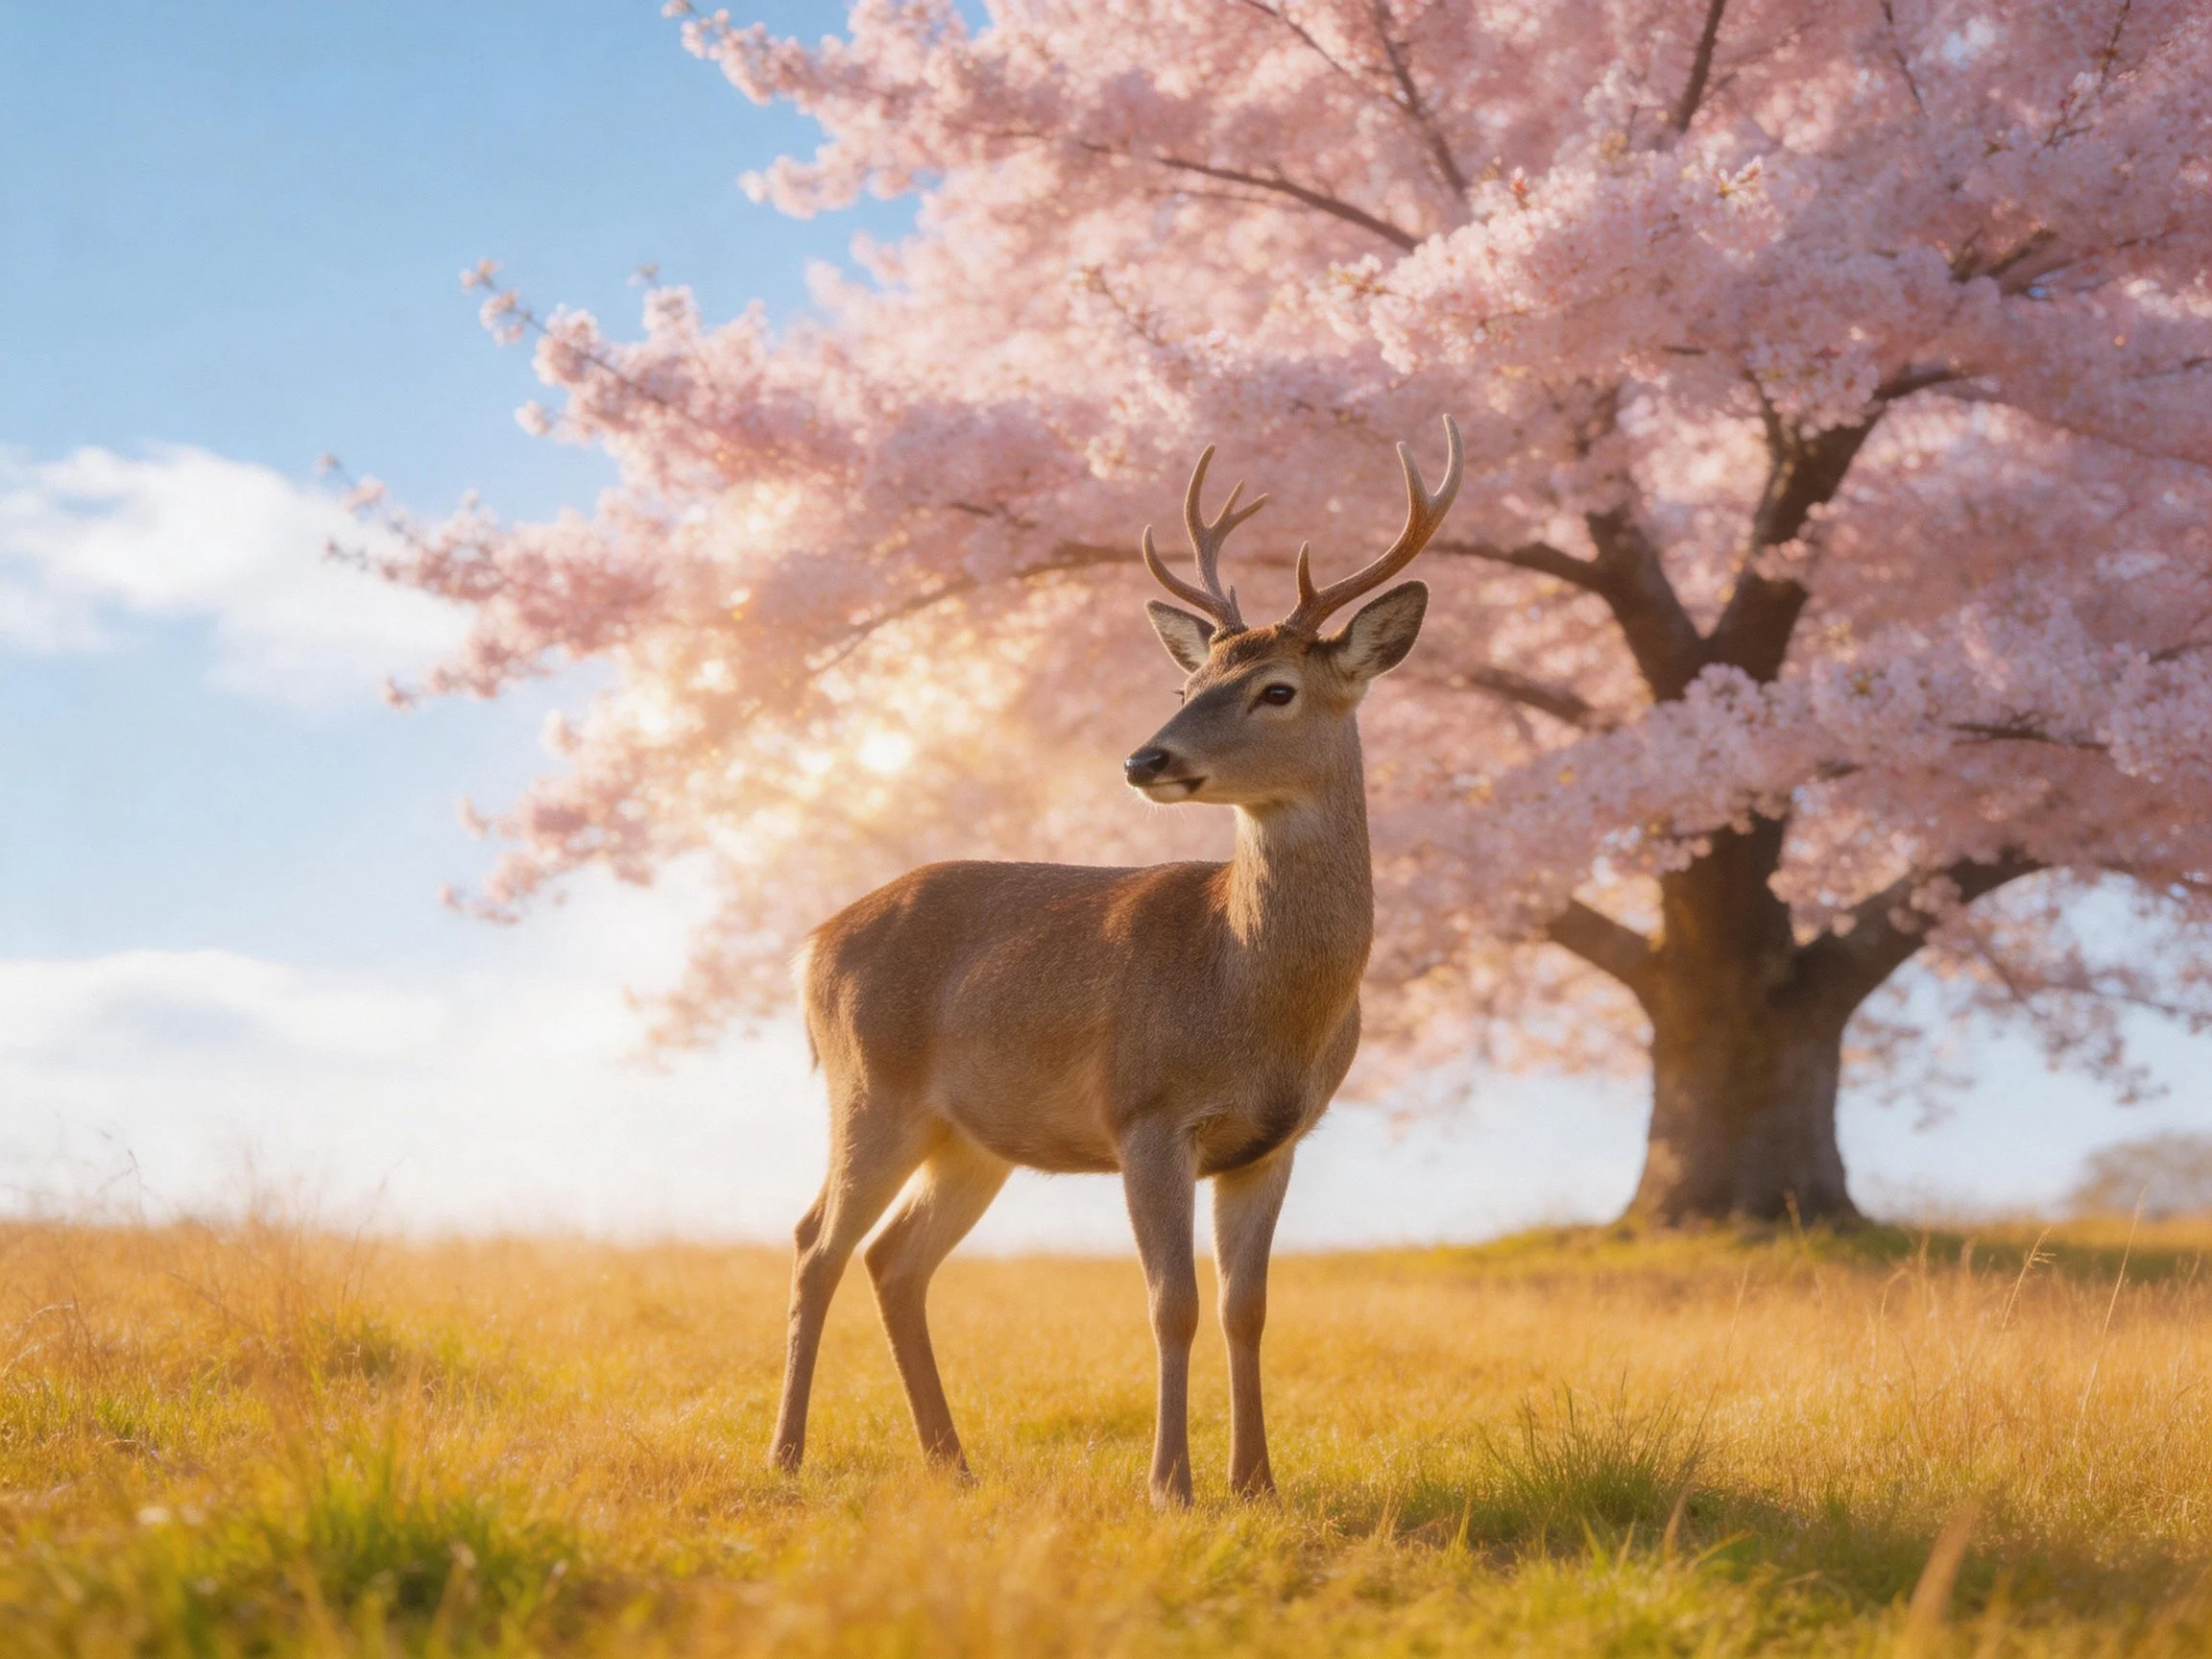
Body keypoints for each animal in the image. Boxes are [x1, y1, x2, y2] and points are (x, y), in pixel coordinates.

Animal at [771, 416, 1463, 1505]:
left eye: (1276, 689)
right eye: (1187, 684)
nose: (1147, 759)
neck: (1246, 991)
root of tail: (813, 942)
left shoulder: (1275, 1141)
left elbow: (1246, 1308)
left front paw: (1257, 1485)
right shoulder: (1144, 1111)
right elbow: (1170, 1301)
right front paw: (1171, 1485)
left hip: (972, 1134)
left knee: (896, 1260)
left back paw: (953, 1464)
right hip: (869, 1087)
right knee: (815, 1243)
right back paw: (789, 1456)